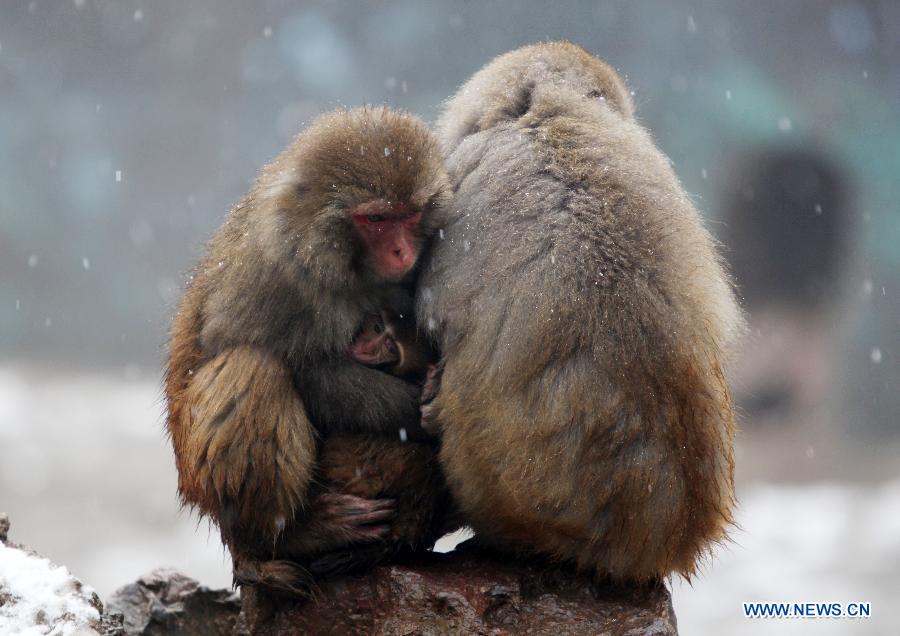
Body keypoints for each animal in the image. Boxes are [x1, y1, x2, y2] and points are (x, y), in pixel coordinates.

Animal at [163, 107, 450, 592]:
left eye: (410, 216)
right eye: (376, 219)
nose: (400, 251)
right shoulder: (274, 273)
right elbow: (296, 367)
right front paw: (419, 412)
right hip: (199, 476)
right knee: (254, 367)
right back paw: (292, 536)